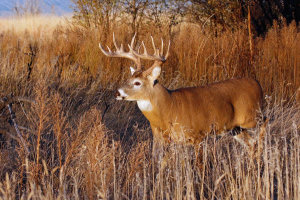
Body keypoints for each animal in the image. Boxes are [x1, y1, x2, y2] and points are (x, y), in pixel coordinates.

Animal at [99, 34, 264, 147]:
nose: (117, 93)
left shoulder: (198, 135)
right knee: (251, 144)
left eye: (137, 83)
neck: (170, 107)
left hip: (252, 117)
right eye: (128, 78)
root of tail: (257, 83)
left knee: (264, 124)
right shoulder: (163, 140)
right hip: (235, 128)